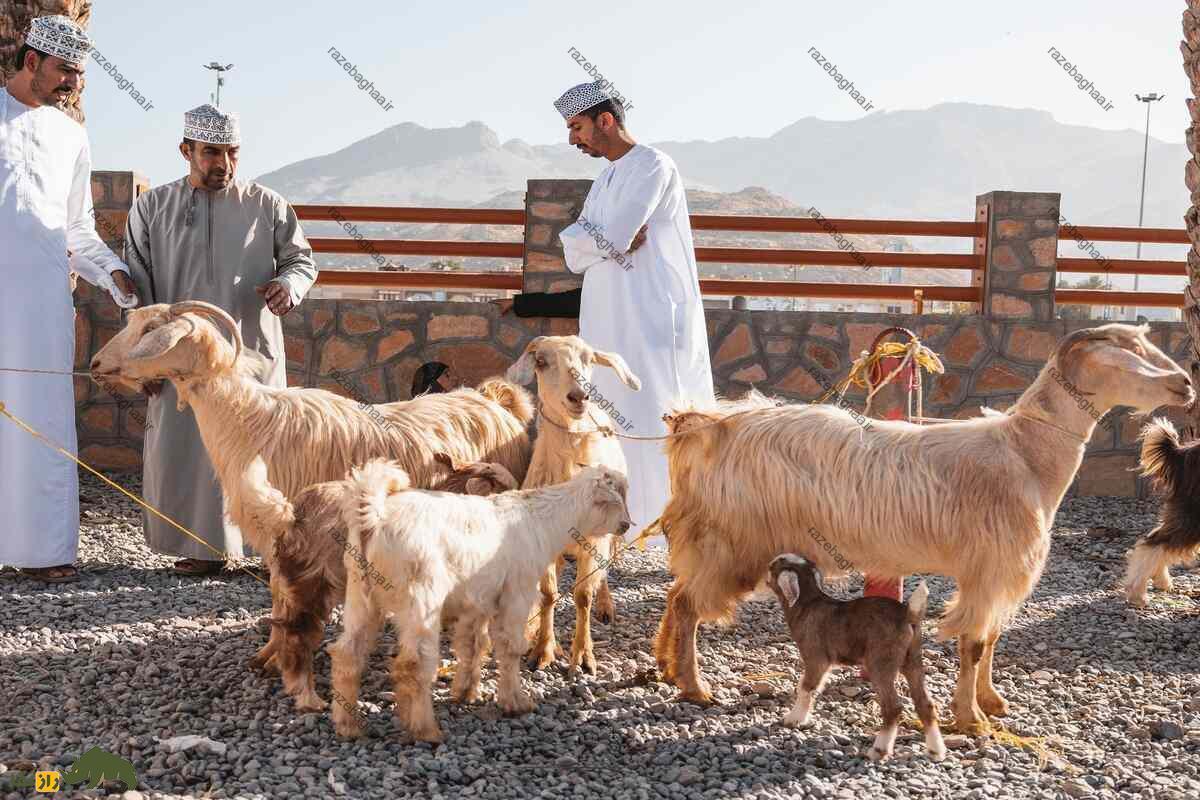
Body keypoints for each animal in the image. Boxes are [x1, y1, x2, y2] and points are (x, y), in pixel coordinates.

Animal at [88, 303, 530, 690]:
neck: (248, 420)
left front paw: (274, 655)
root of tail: (495, 399)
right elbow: (278, 595)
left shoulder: (286, 531)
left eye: (150, 329)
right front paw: (271, 652)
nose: (94, 364)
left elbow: (282, 595)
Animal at [652, 323, 1195, 734]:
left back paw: (667, 667)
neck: (1026, 455)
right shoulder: (988, 569)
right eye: (1126, 352)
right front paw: (971, 719)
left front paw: (991, 702)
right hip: (732, 541)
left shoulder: (994, 573)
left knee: (677, 596)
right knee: (687, 604)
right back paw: (695, 687)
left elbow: (990, 639)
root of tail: (702, 424)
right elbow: (973, 643)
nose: (1186, 384)